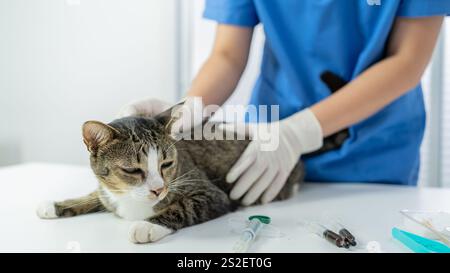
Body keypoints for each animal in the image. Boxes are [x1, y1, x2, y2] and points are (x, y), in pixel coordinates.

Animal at [37, 70, 350, 242]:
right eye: (133, 170)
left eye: (166, 164)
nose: (158, 189)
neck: (131, 201)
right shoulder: (109, 192)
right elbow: (97, 194)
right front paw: (56, 204)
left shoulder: (211, 194)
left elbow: (182, 208)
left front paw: (148, 226)